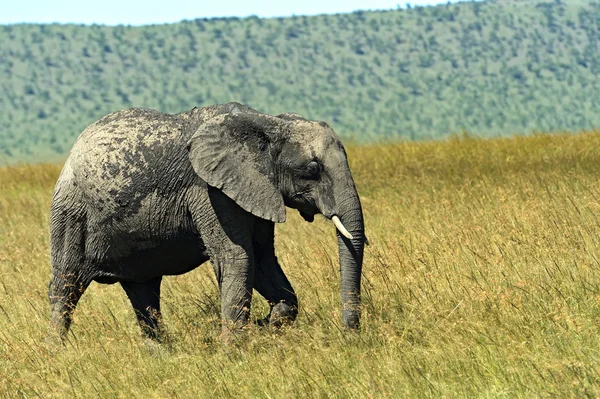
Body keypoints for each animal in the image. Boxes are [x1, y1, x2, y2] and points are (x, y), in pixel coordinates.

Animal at [49, 103, 366, 340]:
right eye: (312, 169)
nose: (348, 335)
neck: (268, 124)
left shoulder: (257, 189)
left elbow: (263, 258)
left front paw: (265, 324)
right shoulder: (211, 192)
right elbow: (238, 258)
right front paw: (234, 353)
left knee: (144, 292)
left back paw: (163, 358)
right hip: (71, 211)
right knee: (65, 287)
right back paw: (56, 354)